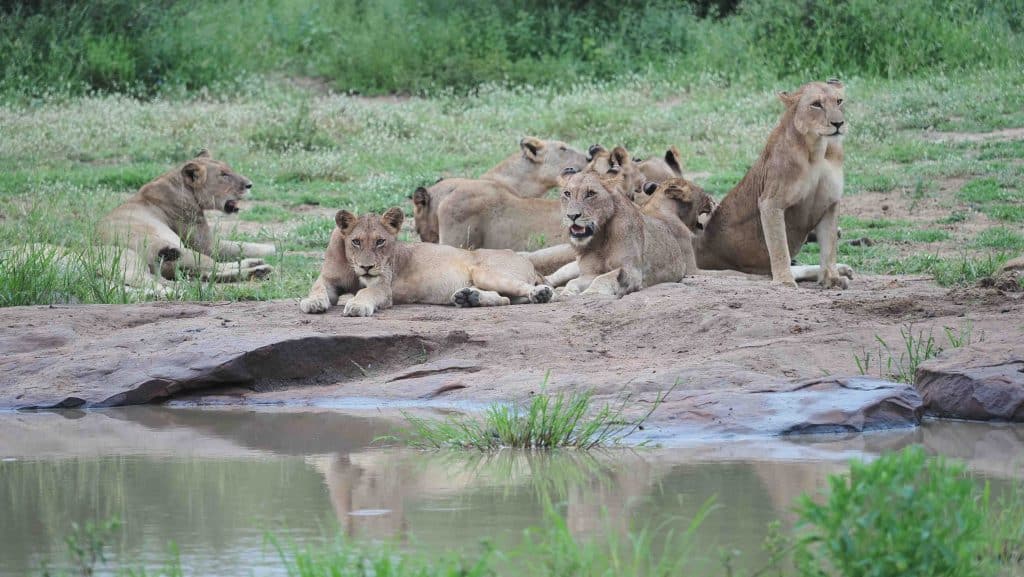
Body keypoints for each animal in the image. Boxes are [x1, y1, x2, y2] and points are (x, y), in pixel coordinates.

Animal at [93, 148, 272, 286]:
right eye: (224, 175)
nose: (249, 184)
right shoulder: (207, 245)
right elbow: (245, 246)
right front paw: (273, 248)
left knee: (208, 273)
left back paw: (257, 268)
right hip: (181, 250)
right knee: (214, 268)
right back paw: (259, 269)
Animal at [299, 207, 552, 315]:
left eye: (380, 241)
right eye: (356, 241)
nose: (367, 267)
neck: (353, 268)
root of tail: (525, 259)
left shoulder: (383, 287)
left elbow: (366, 292)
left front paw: (357, 306)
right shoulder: (328, 279)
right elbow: (317, 288)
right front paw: (312, 303)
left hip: (487, 272)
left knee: (523, 291)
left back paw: (541, 294)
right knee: (505, 299)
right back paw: (467, 297)